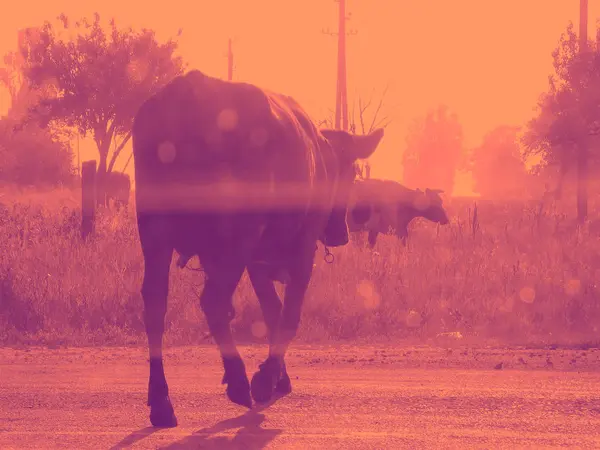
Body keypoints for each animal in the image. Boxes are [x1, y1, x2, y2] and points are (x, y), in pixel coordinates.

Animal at [132, 68, 384, 428]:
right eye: (349, 173)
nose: (341, 233)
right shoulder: (299, 250)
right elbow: (288, 314)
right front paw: (267, 378)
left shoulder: (255, 261)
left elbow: (271, 311)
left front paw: (279, 376)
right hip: (236, 237)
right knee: (212, 301)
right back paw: (238, 382)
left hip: (155, 232)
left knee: (156, 305)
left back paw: (162, 402)